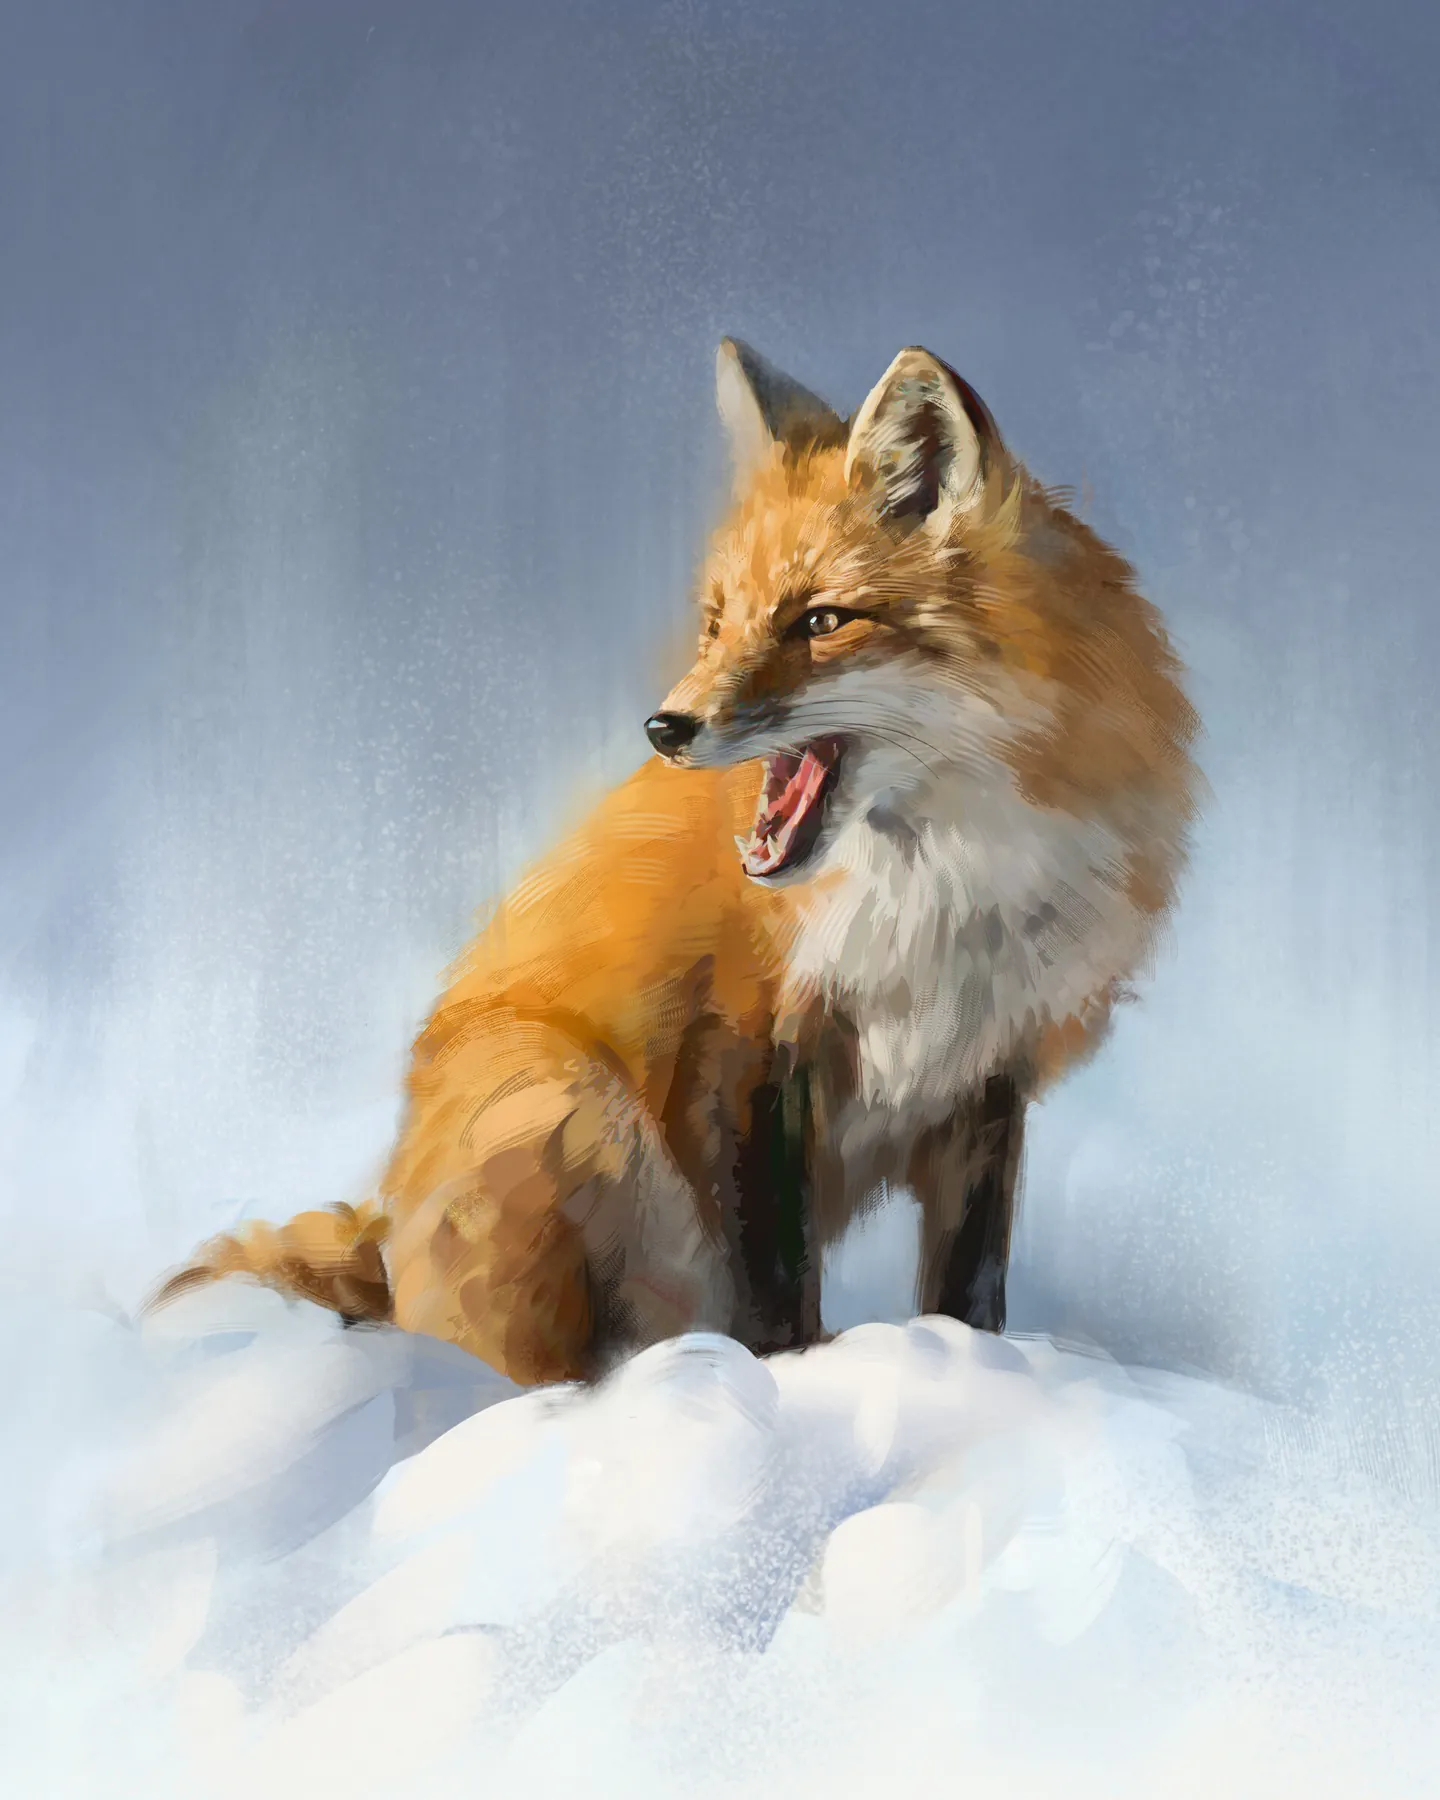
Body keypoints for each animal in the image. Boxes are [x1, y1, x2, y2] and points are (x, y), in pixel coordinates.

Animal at [151, 339, 1200, 1385]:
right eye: (715, 623)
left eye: (821, 622)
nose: (665, 727)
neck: (947, 883)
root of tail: (385, 1229)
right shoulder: (746, 1042)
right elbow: (776, 1275)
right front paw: (790, 1380)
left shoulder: (990, 1067)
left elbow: (967, 1283)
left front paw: (975, 1370)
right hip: (559, 1103)